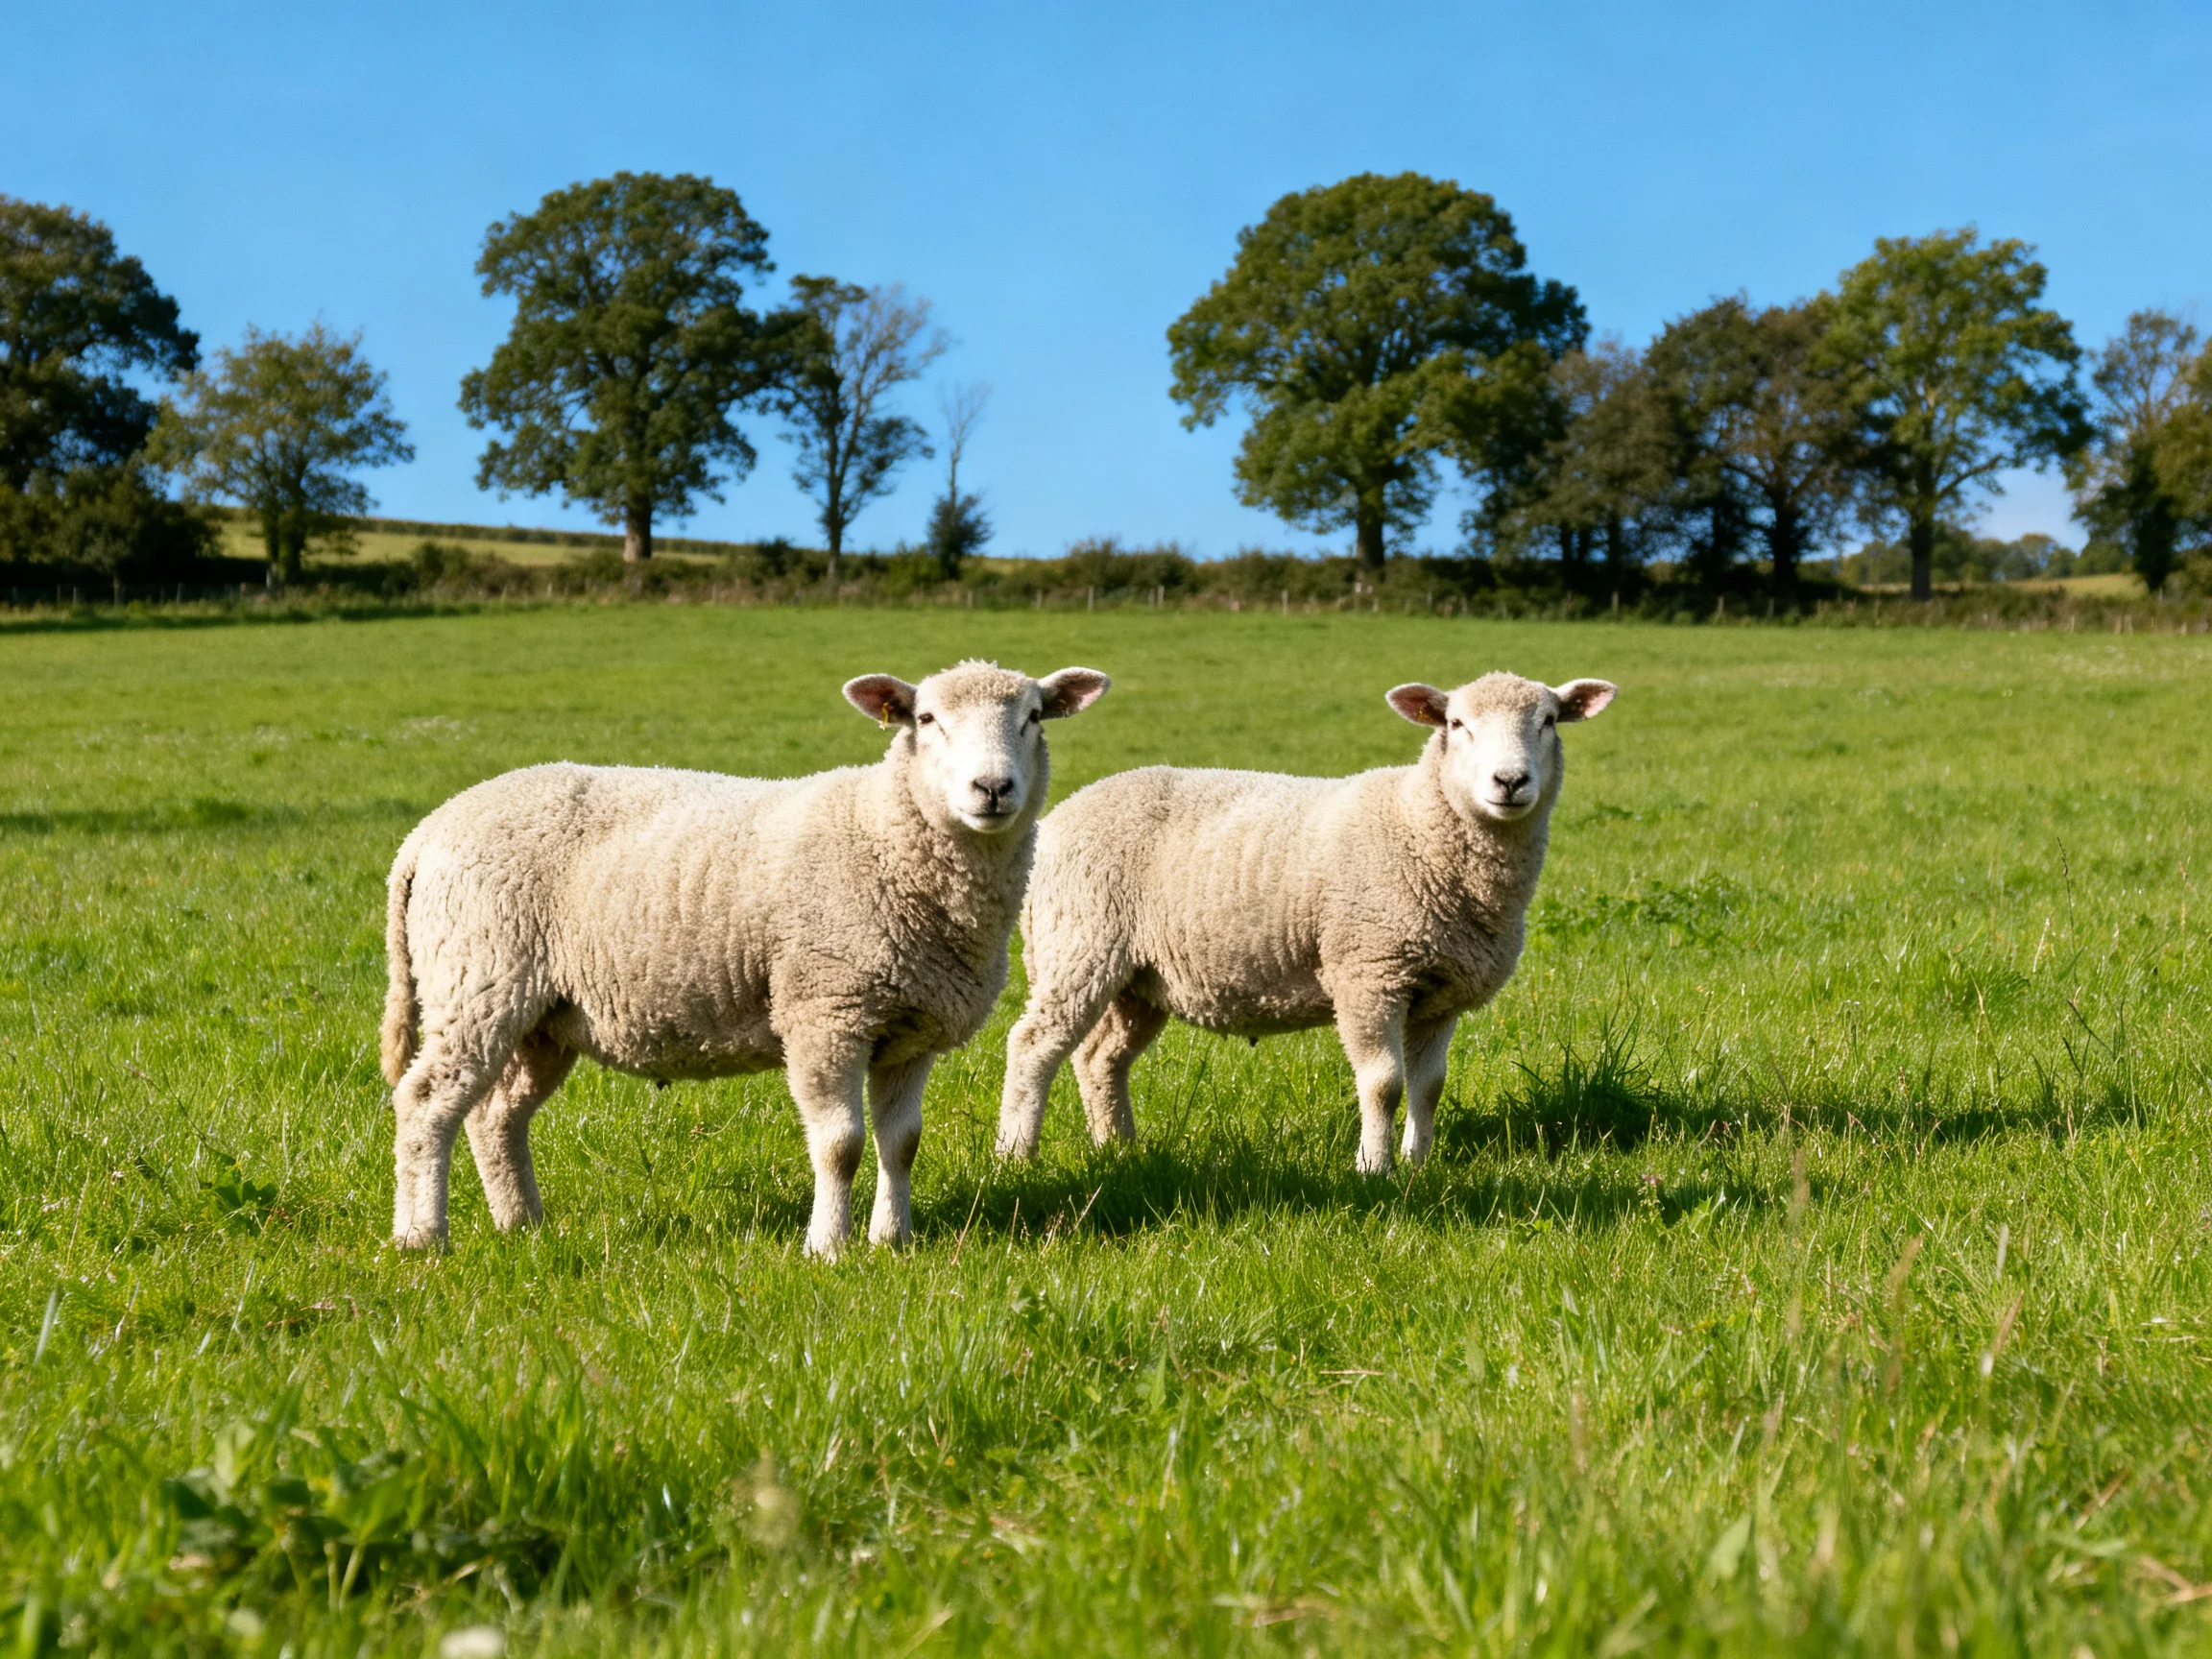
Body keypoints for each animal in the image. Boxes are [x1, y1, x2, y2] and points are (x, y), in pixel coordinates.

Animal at [381, 659, 1110, 1257]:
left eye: (1034, 717)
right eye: (927, 719)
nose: (993, 787)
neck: (884, 831)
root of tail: (424, 834)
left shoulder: (908, 1029)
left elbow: (901, 1144)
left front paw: (893, 1240)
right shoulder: (824, 1012)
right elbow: (841, 1145)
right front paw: (828, 1247)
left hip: (542, 1017)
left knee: (494, 1117)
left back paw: (523, 1225)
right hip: (478, 977)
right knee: (425, 1102)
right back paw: (422, 1237)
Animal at [996, 671, 1615, 1173]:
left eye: (1549, 720)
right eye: (1457, 723)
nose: (1510, 782)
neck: (1418, 824)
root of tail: (1056, 818)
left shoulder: (1439, 994)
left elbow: (1429, 1087)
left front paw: (1418, 1162)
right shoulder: (1368, 972)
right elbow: (1384, 1084)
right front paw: (1374, 1167)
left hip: (1138, 978)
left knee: (1101, 1059)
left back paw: (1120, 1149)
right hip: (1079, 944)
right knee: (1033, 1046)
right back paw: (1016, 1154)